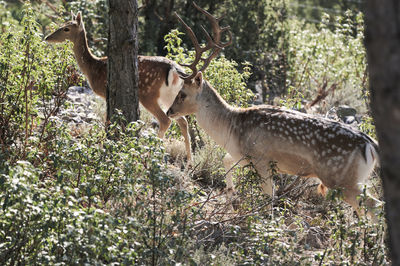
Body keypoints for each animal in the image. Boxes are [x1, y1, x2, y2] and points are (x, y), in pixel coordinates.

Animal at [44, 10, 193, 160]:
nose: (47, 37)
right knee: (183, 121)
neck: (93, 68)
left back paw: (150, 155)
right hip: (171, 96)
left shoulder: (106, 93)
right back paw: (189, 161)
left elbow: (107, 120)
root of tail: (175, 70)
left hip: (148, 94)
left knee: (165, 120)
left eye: (66, 28)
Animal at [168, 7, 382, 221]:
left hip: (340, 178)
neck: (232, 129)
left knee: (375, 206)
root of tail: (370, 145)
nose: (169, 111)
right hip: (355, 179)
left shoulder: (261, 159)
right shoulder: (243, 157)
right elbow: (225, 160)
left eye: (182, 93)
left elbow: (268, 195)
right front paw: (232, 197)